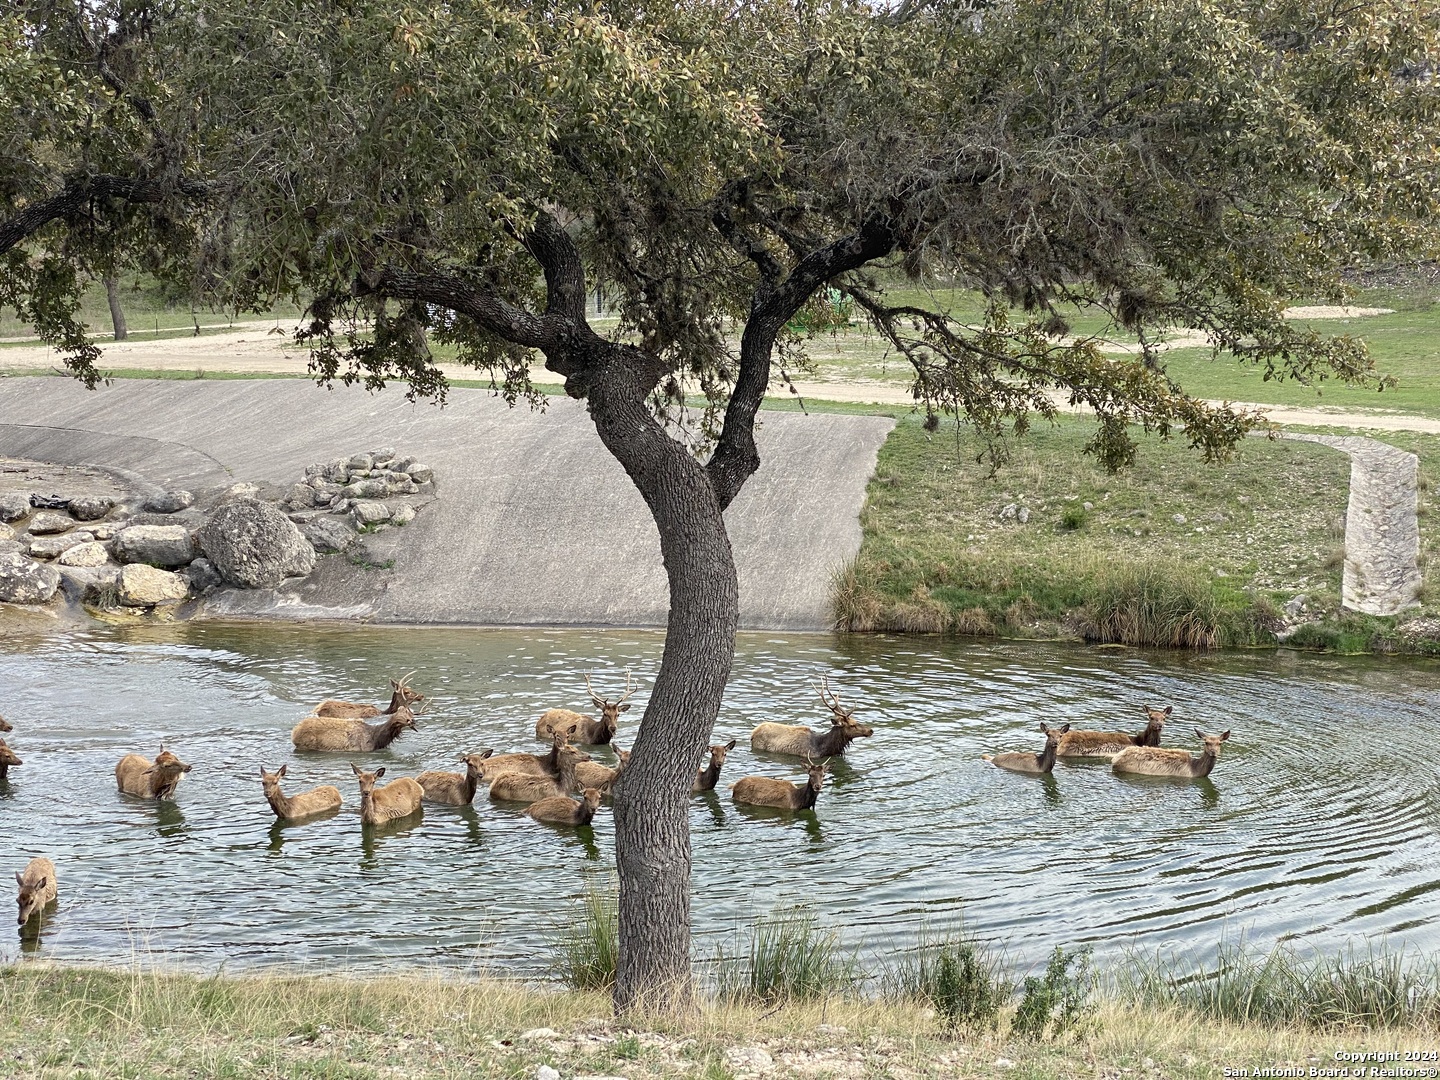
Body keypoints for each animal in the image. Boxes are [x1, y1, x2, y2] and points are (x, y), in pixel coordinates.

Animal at [291, 702, 422, 752]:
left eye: (410, 713)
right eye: (400, 714)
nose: (412, 721)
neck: (377, 740)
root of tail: (294, 733)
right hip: (305, 745)